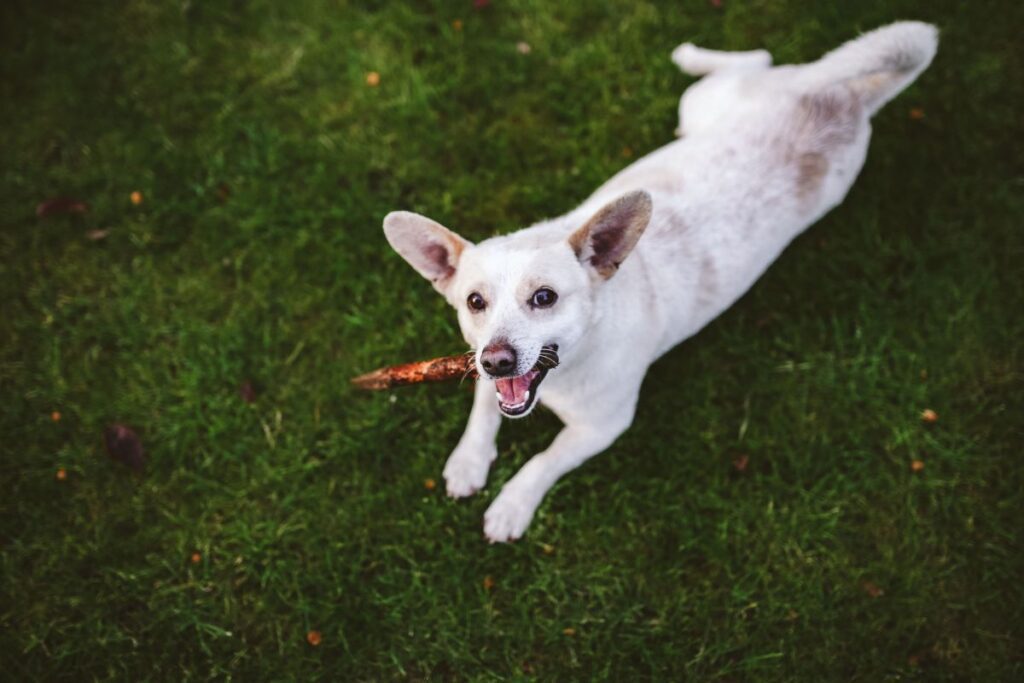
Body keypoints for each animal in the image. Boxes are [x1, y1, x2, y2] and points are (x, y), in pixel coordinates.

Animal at [382, 24, 937, 540]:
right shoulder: (483, 369)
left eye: (544, 297)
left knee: (756, 56)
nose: (497, 360)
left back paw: (690, 54)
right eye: (475, 301)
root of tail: (845, 96)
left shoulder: (602, 427)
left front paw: (512, 505)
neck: (569, 367)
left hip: (715, 107)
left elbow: (545, 459)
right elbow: (483, 408)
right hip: (705, 110)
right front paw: (469, 461)